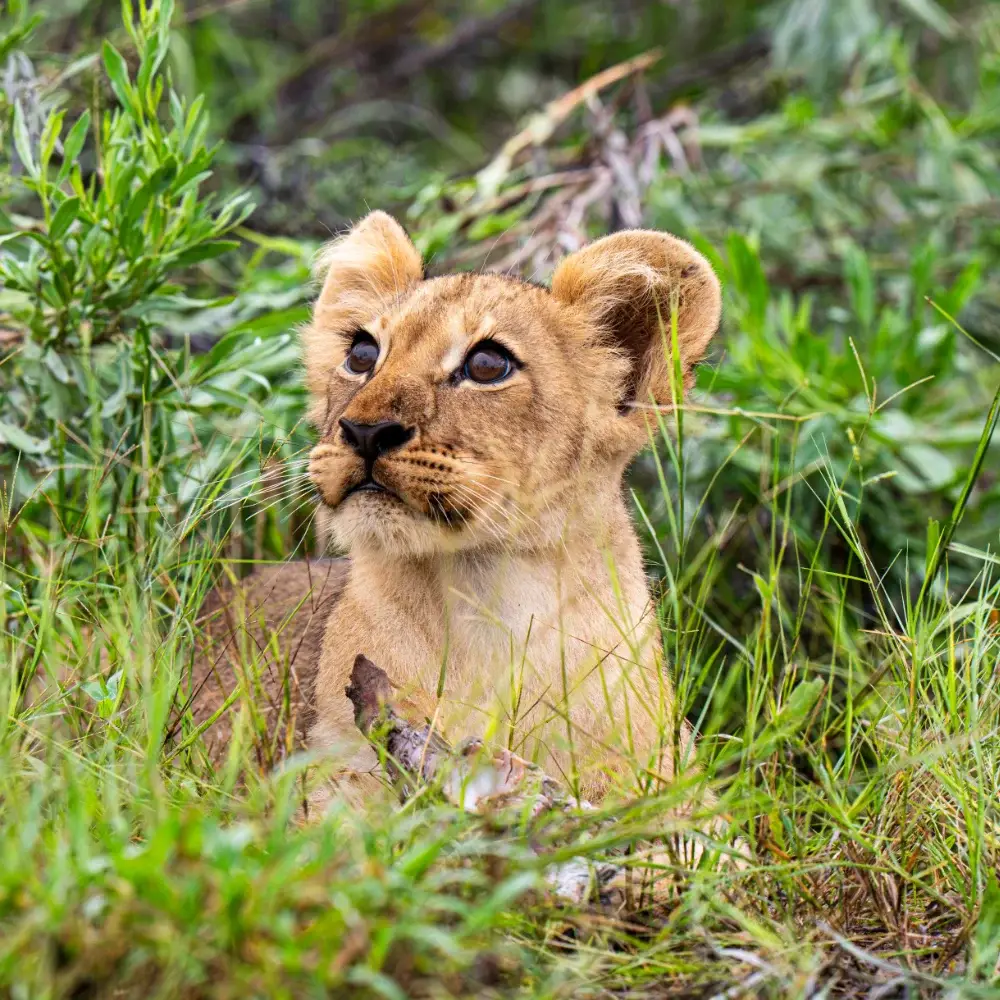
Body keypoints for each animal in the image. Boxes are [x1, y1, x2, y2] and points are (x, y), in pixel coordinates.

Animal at [190, 211, 721, 804]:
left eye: (488, 364)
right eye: (361, 354)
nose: (365, 430)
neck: (490, 598)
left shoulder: (677, 781)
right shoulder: (331, 771)